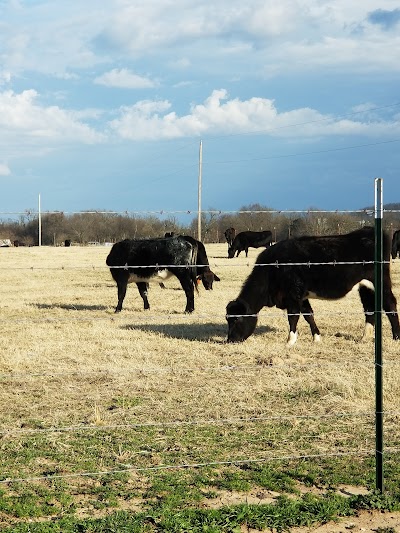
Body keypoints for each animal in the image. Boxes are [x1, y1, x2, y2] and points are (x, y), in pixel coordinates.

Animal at [227, 225, 400, 344]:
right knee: (370, 308)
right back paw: (365, 337)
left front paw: (290, 341)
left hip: (381, 281)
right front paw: (316, 337)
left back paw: (396, 336)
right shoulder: (302, 296)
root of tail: (369, 230)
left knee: (390, 304)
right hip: (365, 286)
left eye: (237, 320)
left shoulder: (293, 294)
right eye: (228, 319)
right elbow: (308, 315)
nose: (230, 340)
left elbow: (293, 317)